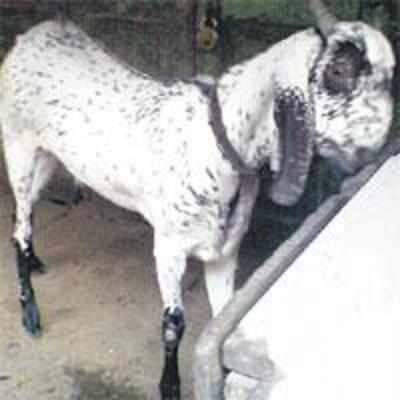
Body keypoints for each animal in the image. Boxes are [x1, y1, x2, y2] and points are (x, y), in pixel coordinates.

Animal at [0, 1, 394, 398]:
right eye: (339, 70)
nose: (378, 148)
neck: (216, 140)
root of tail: (33, 35)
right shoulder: (169, 246)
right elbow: (174, 323)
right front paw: (169, 386)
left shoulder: (225, 249)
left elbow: (222, 314)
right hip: (18, 145)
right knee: (21, 227)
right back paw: (30, 313)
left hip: (48, 158)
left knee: (23, 215)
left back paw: (34, 261)